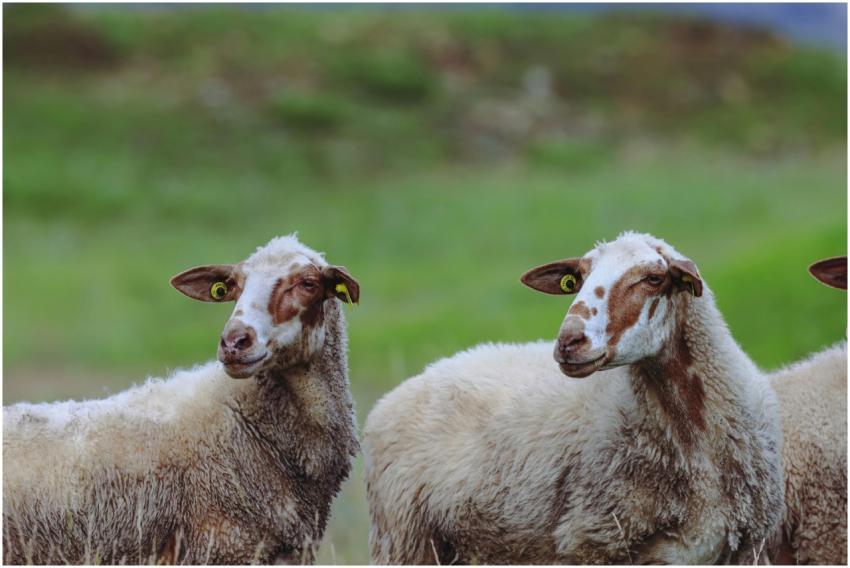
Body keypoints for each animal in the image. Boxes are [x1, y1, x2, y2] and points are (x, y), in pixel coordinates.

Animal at [364, 231, 784, 564]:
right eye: (577, 279)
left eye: (654, 278)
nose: (568, 341)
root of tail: (417, 378)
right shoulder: (594, 540)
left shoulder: (743, 548)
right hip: (406, 540)